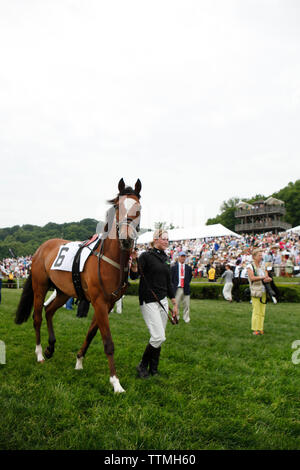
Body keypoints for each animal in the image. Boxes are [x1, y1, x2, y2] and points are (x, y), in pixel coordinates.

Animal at [14, 179, 141, 392]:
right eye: (117, 207)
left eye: (138, 207)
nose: (126, 238)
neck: (110, 261)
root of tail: (41, 248)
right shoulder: (99, 302)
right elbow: (108, 342)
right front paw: (115, 382)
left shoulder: (107, 304)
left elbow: (91, 333)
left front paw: (79, 361)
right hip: (40, 287)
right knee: (37, 317)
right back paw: (39, 353)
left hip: (64, 292)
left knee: (49, 311)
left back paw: (50, 348)